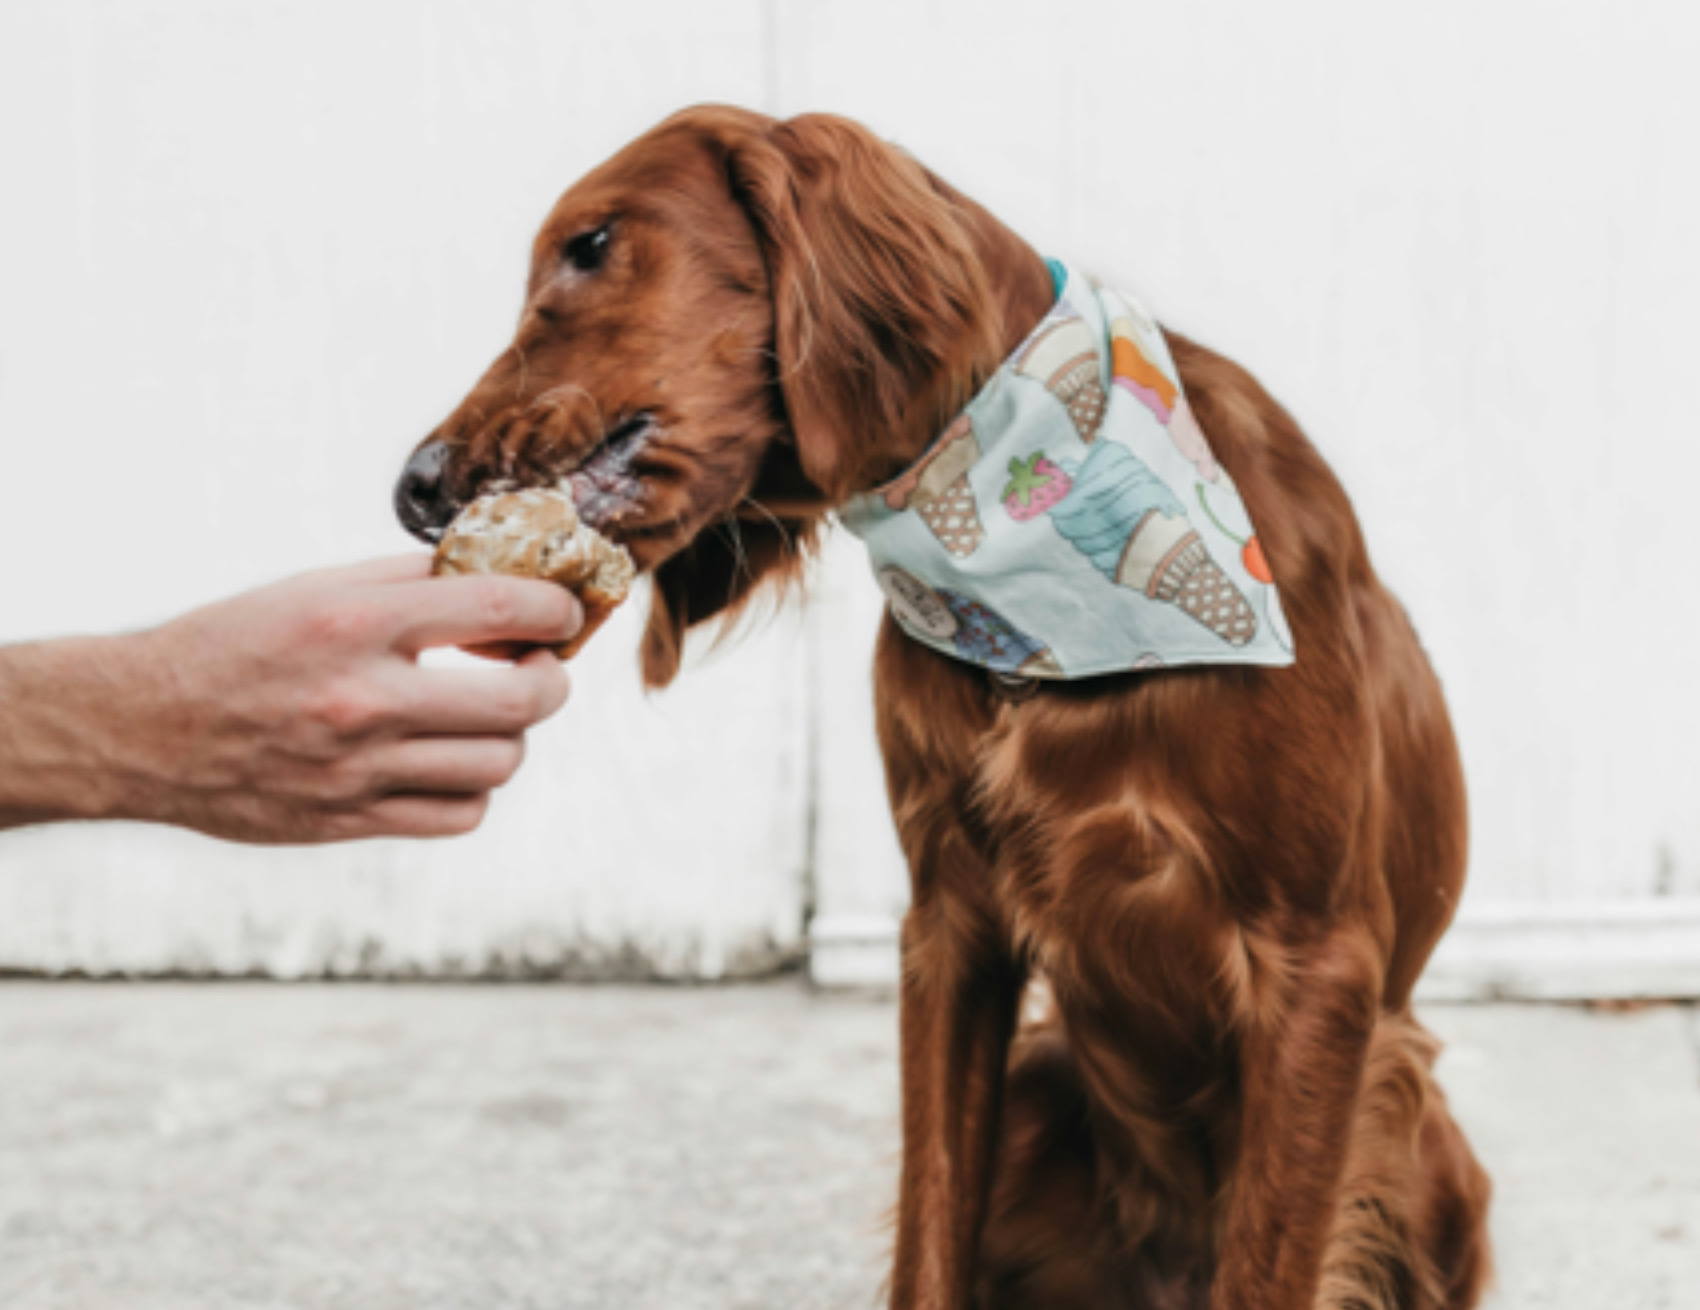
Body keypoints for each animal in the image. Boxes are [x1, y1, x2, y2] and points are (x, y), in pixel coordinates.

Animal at [397, 104, 1489, 1310]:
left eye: (590, 246)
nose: (413, 486)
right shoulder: (951, 923)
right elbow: (929, 1233)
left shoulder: (1314, 962)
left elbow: (1267, 1265)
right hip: (1039, 1093)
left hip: (1422, 1134)